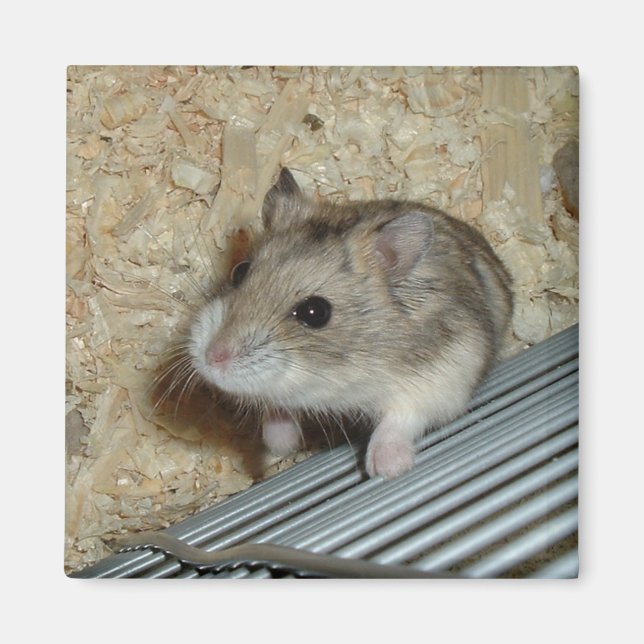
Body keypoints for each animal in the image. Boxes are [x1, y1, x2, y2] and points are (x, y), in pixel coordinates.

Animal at [189, 168, 513, 479]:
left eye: (314, 312)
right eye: (239, 272)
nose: (212, 358)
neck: (342, 372)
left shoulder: (446, 375)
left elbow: (401, 417)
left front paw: (386, 470)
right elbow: (276, 409)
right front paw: (281, 446)